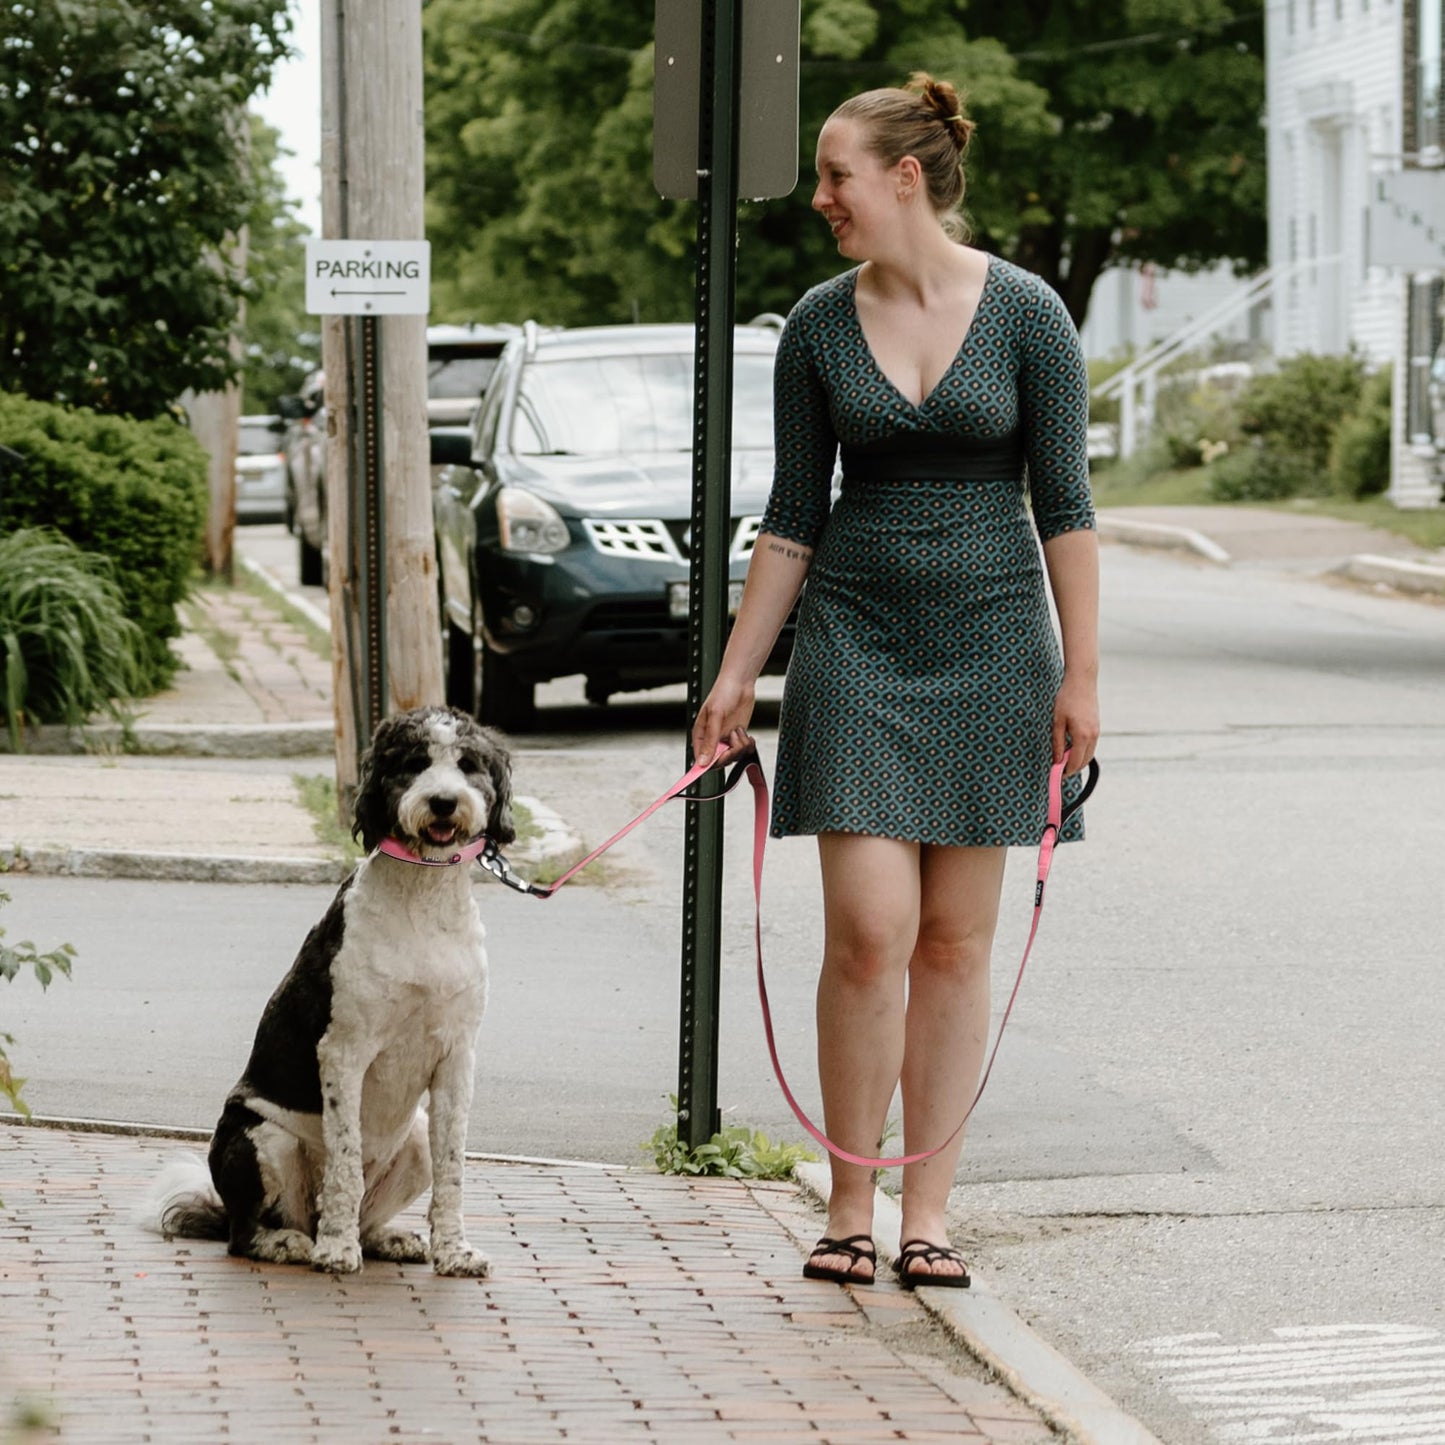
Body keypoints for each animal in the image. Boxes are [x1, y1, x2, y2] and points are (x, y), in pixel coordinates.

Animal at [135, 702, 517, 1277]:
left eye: (468, 764)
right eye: (413, 763)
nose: (443, 801)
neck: (423, 901)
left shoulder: (456, 1058)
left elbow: (453, 1167)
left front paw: (455, 1252)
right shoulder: (344, 1052)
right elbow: (345, 1159)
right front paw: (337, 1251)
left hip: (414, 1139)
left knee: (371, 1209)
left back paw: (385, 1238)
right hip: (260, 1138)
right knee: (246, 1233)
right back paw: (293, 1242)